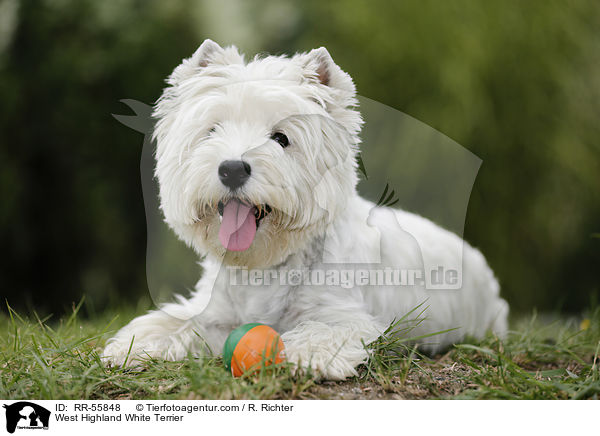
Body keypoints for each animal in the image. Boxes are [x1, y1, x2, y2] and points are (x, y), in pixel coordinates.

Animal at [103, 41, 506, 382]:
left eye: (281, 139)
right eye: (212, 130)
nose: (231, 169)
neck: (264, 265)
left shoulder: (345, 315)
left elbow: (325, 331)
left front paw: (307, 357)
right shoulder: (216, 314)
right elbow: (176, 325)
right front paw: (130, 349)